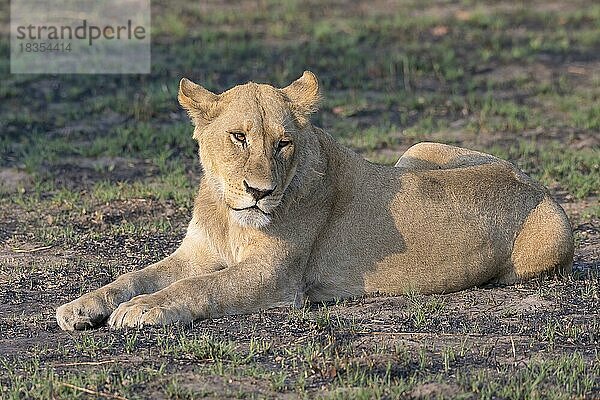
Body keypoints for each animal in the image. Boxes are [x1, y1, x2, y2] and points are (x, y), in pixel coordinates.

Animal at [57, 70, 576, 330]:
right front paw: (81, 306)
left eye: (283, 143)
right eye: (239, 137)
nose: (261, 192)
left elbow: (201, 287)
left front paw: (142, 309)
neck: (228, 213)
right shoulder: (196, 253)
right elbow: (133, 276)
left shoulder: (275, 276)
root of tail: (536, 183)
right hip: (417, 149)